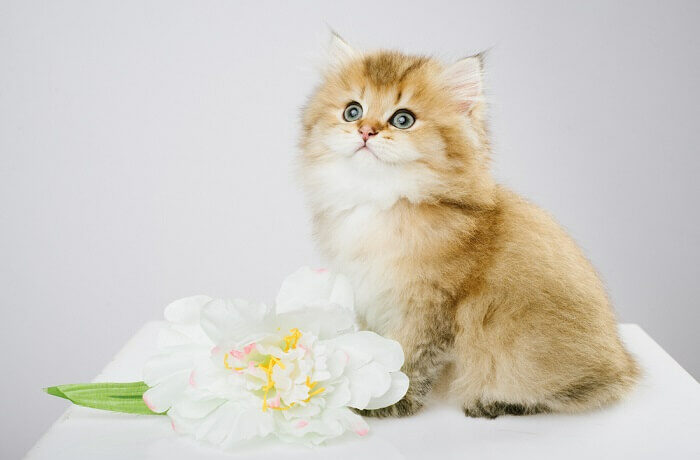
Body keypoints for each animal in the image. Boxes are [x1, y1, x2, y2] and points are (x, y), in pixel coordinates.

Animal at [298, 34, 636, 418]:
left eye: (403, 119)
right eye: (352, 111)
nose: (366, 130)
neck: (382, 202)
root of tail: (623, 366)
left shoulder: (427, 307)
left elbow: (407, 361)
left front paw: (388, 402)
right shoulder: (371, 296)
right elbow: (374, 348)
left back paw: (494, 402)